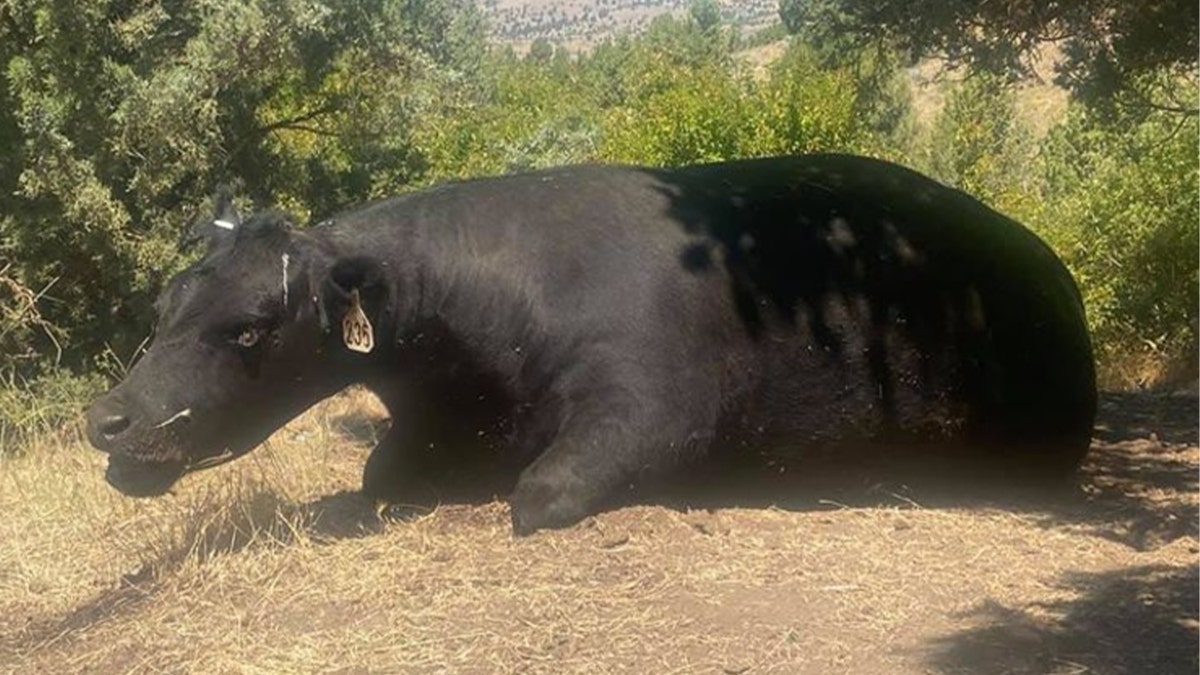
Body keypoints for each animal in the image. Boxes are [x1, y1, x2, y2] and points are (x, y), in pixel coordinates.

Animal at [84, 154, 1099, 533]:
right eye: (162, 306)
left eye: (250, 327)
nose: (107, 419)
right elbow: (380, 475)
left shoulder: (651, 408)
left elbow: (541, 493)